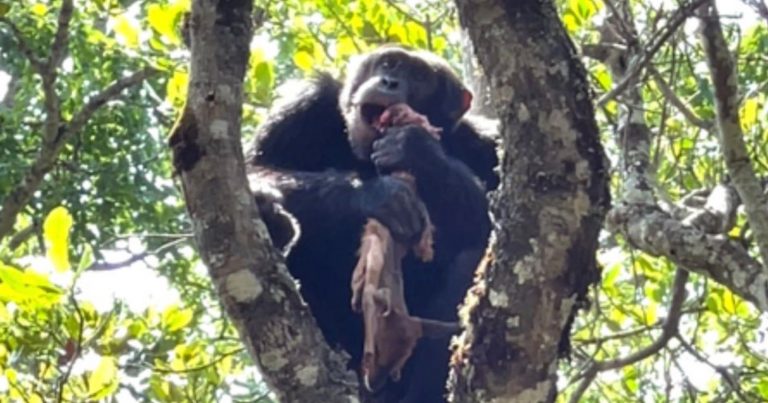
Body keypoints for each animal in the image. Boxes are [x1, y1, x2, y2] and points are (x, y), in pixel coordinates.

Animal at [246, 45, 498, 402]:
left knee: (472, 257)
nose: (390, 81)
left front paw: (417, 149)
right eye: (389, 63)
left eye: (418, 77)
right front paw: (378, 195)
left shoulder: (487, 143)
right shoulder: (302, 105)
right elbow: (255, 167)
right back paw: (274, 222)